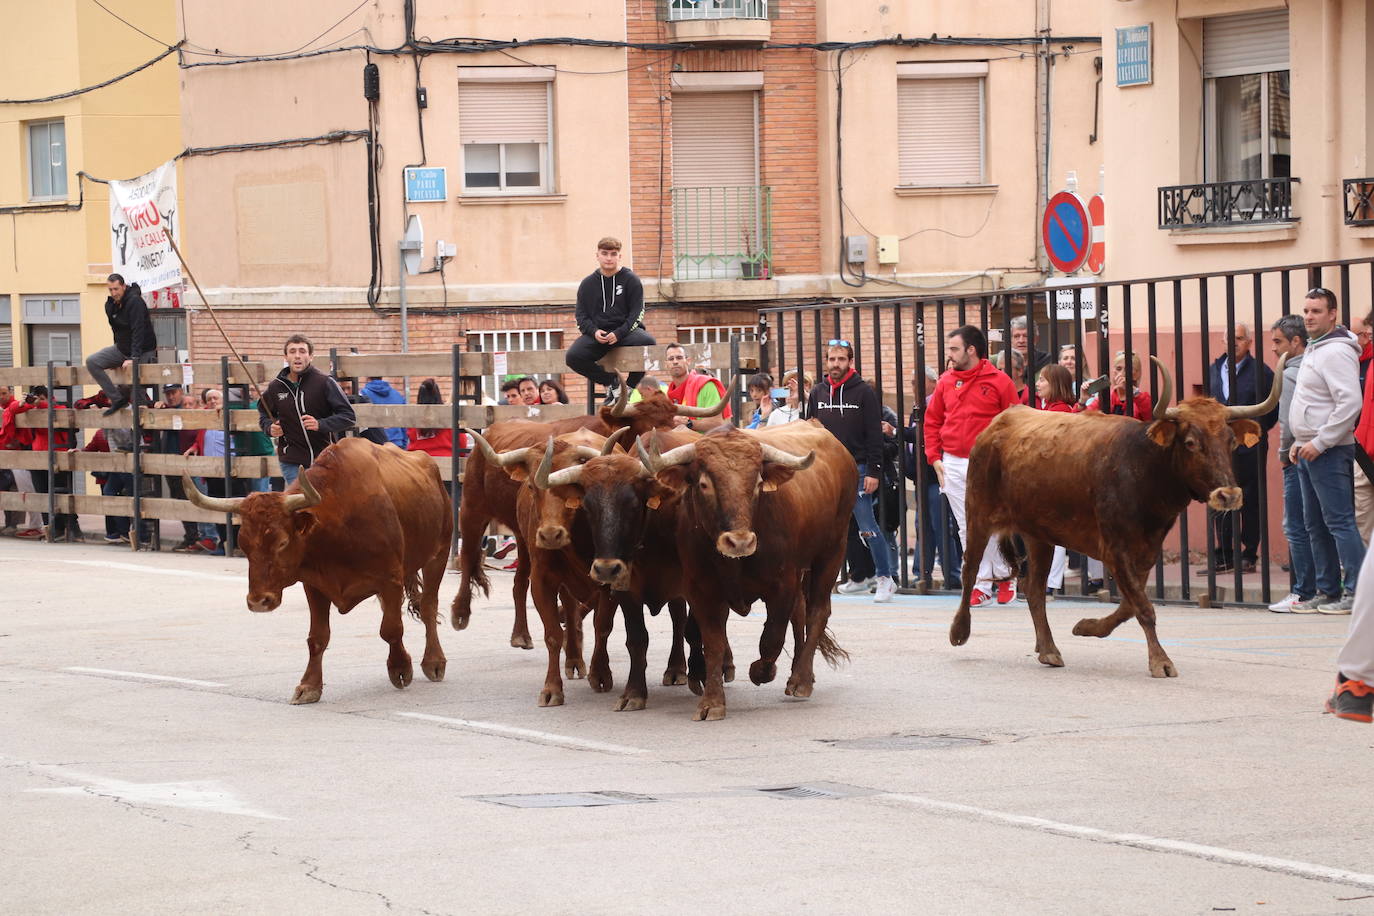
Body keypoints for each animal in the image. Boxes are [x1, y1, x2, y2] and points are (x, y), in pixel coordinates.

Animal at [637, 422, 851, 725]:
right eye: (704, 484)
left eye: (758, 483)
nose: (739, 542)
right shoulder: (701, 591)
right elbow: (713, 642)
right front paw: (712, 702)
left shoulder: (783, 584)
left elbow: (772, 637)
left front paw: (762, 671)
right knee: (801, 613)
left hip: (832, 552)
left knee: (817, 612)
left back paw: (801, 680)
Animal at [950, 354, 1280, 678]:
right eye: (1190, 443)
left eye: (1230, 441)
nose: (1229, 495)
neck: (1144, 467)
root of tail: (997, 425)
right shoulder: (1115, 548)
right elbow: (1143, 607)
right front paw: (1160, 661)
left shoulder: (1146, 551)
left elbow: (1131, 605)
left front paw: (1088, 627)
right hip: (978, 513)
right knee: (970, 570)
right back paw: (959, 631)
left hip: (1038, 535)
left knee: (1034, 590)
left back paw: (1048, 649)